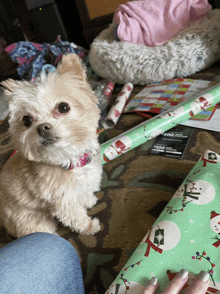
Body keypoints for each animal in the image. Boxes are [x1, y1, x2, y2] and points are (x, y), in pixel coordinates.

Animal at [0, 53, 102, 239]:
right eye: (27, 120)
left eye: (64, 107)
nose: (42, 127)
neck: (69, 161)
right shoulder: (64, 203)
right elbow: (77, 218)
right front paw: (90, 227)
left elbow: (84, 194)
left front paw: (89, 201)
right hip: (32, 222)